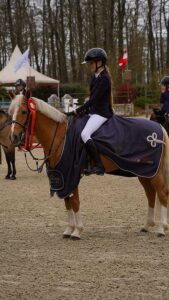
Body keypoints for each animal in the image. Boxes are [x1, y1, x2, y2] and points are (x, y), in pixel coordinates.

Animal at [8, 94, 169, 239]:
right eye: (11, 112)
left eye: (24, 111)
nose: (13, 137)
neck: (60, 136)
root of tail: (159, 128)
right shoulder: (62, 177)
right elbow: (67, 203)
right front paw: (69, 229)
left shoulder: (70, 174)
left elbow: (75, 202)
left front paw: (77, 231)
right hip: (144, 172)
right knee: (151, 194)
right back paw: (148, 225)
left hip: (154, 173)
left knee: (161, 193)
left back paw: (161, 228)